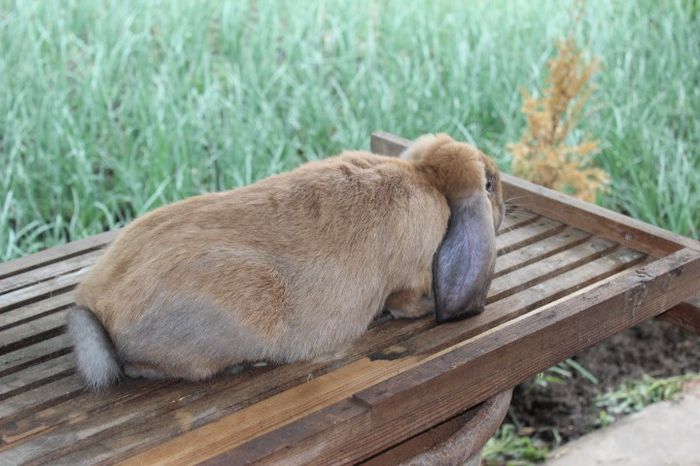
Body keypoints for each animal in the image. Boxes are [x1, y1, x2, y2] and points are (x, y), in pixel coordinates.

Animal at [68, 135, 504, 390]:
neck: (427, 179)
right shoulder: (407, 281)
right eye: (489, 184)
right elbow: (405, 303)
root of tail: (95, 308)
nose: (502, 210)